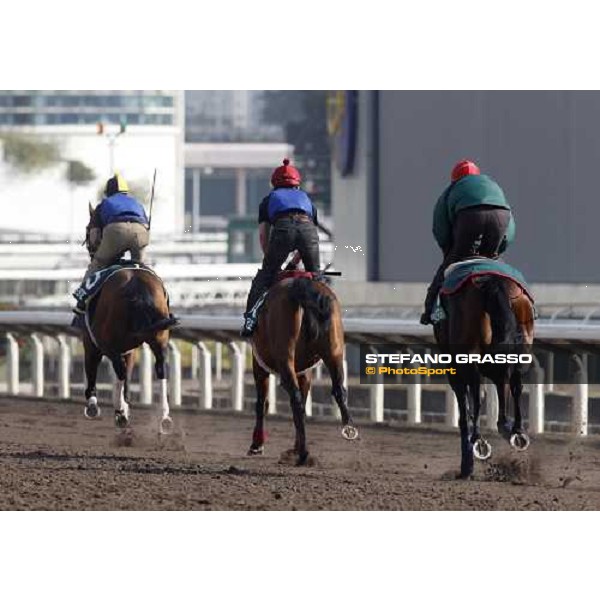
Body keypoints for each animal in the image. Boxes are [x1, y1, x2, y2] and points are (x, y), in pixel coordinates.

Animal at [78, 206, 176, 432]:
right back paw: (164, 417)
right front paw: (125, 405)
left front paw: (94, 405)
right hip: (159, 337)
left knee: (120, 370)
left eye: (88, 227)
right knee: (162, 368)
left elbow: (94, 369)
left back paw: (120, 413)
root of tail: (136, 285)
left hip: (110, 342)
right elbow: (129, 377)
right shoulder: (129, 348)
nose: (91, 250)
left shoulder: (92, 342)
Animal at [247, 272, 358, 464]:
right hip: (335, 351)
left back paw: (303, 454)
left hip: (285, 356)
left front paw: (257, 445)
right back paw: (347, 428)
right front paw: (293, 447)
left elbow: (261, 403)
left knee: (295, 398)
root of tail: (301, 287)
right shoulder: (305, 372)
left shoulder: (259, 364)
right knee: (338, 390)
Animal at [434, 276, 536, 478]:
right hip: (522, 341)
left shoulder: (454, 365)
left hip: (470, 353)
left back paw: (479, 442)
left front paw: (467, 466)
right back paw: (517, 432)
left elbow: (466, 409)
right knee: (515, 386)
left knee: (476, 394)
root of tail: (494, 283)